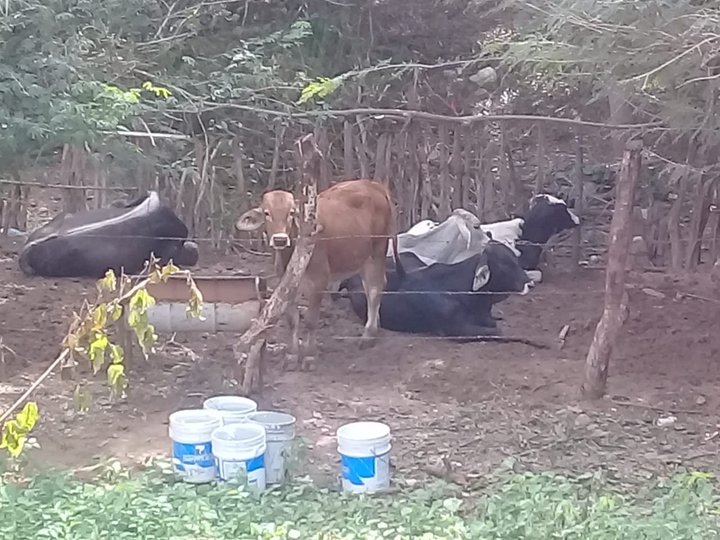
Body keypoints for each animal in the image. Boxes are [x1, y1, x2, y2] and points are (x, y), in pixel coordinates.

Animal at [235, 179, 400, 370]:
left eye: (291, 213)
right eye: (267, 213)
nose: (280, 239)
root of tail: (374, 184)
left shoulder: (319, 281)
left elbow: (311, 320)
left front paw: (309, 356)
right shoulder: (286, 285)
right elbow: (292, 320)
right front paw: (292, 355)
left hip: (378, 250)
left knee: (375, 289)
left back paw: (368, 335)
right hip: (362, 256)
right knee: (370, 288)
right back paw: (375, 326)